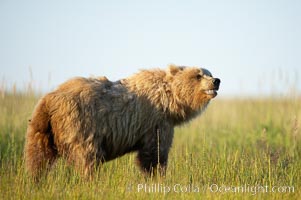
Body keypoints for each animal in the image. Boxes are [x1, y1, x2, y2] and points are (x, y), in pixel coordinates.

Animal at [23, 64, 219, 180]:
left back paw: (35, 180)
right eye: (198, 75)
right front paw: (158, 176)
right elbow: (155, 153)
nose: (216, 80)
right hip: (80, 122)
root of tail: (49, 101)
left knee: (37, 157)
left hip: (40, 126)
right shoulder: (155, 120)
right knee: (86, 156)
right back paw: (90, 180)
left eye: (209, 73)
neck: (169, 101)